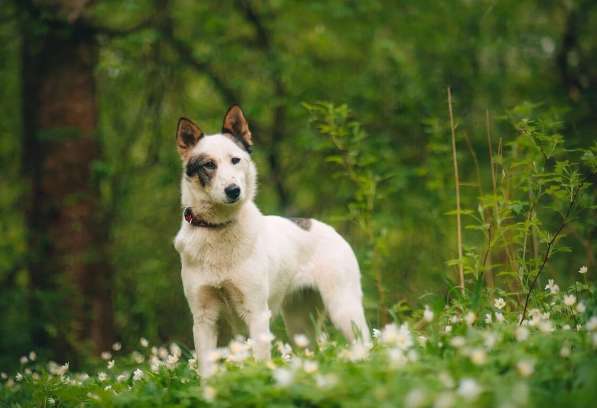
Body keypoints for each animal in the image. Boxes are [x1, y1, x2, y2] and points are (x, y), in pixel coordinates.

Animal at [171, 104, 368, 376]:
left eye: (235, 160)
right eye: (209, 165)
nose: (234, 191)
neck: (218, 228)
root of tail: (328, 228)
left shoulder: (256, 313)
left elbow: (261, 361)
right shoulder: (204, 318)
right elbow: (207, 371)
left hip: (344, 309)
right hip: (300, 323)